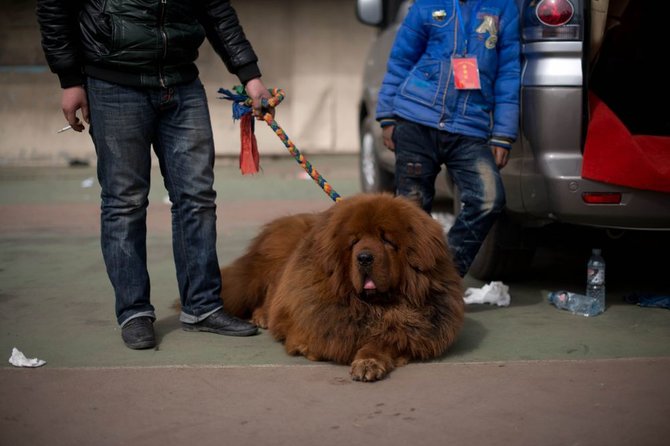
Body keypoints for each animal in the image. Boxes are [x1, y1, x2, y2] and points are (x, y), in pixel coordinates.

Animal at [223, 193, 464, 382]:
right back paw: (262, 316)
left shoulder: (409, 333)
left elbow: (384, 341)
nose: (364, 258)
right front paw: (307, 347)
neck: (372, 305)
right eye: (354, 242)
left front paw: (368, 362)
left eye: (386, 240)